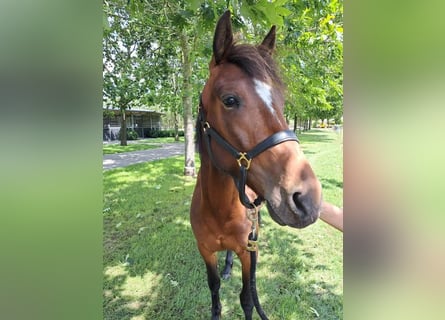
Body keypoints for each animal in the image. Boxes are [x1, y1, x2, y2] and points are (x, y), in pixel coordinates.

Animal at [189, 10, 320, 320]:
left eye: (281, 102)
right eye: (230, 100)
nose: (307, 199)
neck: (218, 209)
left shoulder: (251, 251)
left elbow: (247, 298)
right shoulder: (205, 251)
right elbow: (214, 291)